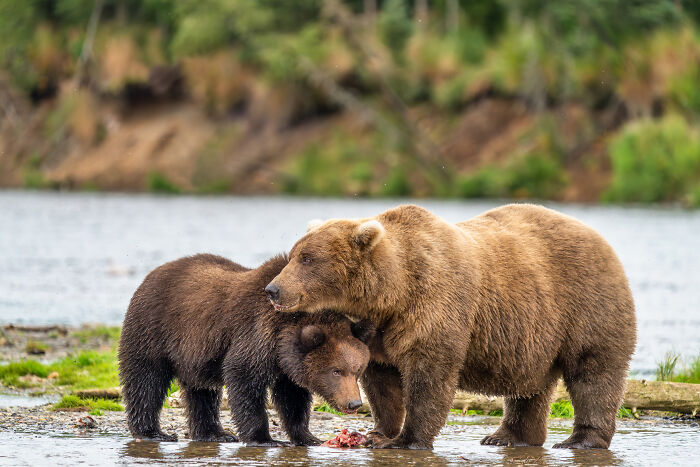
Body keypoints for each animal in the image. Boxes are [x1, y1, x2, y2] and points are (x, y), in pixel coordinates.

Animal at [118, 253, 375, 446]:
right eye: (336, 371)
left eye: (357, 370)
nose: (354, 403)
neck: (283, 335)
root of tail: (152, 274)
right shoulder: (256, 333)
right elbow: (244, 378)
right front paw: (264, 438)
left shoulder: (288, 364)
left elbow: (293, 398)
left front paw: (308, 437)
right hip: (153, 329)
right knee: (146, 379)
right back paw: (152, 432)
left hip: (195, 352)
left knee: (202, 391)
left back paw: (214, 433)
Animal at [264, 204, 637, 450]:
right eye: (295, 254)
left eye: (308, 259)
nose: (273, 289)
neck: (392, 294)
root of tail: (601, 239)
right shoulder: (378, 333)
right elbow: (381, 382)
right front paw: (379, 432)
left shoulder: (435, 303)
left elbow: (429, 375)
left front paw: (405, 440)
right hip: (536, 334)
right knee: (531, 387)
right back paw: (505, 436)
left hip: (586, 304)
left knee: (594, 372)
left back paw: (581, 440)